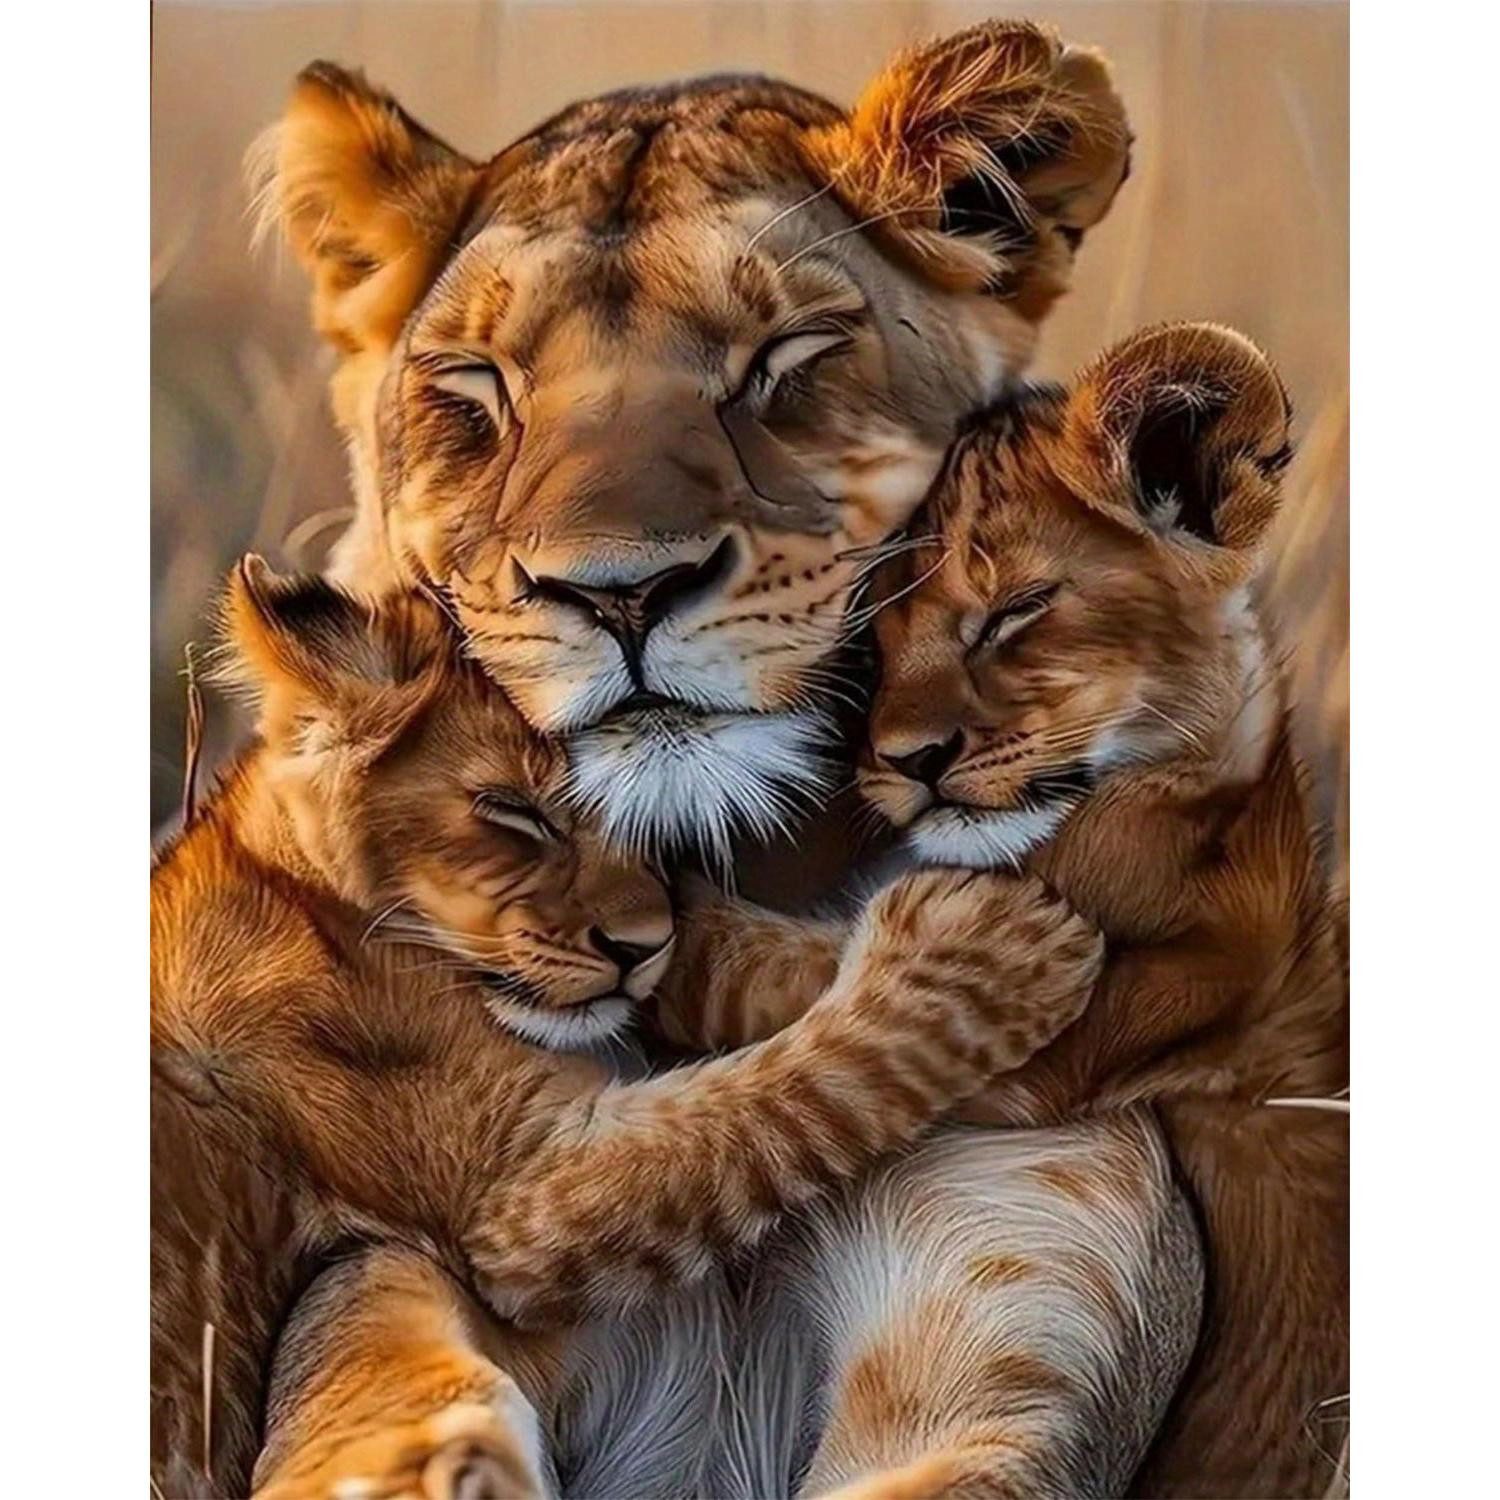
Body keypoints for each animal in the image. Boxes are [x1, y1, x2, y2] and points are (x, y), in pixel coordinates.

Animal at [149, 557, 1106, 1499]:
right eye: (513, 811)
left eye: (646, 822)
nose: (636, 946)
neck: (305, 895)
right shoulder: (523, 1192)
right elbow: (776, 1098)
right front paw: (996, 945)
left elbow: (756, 984)